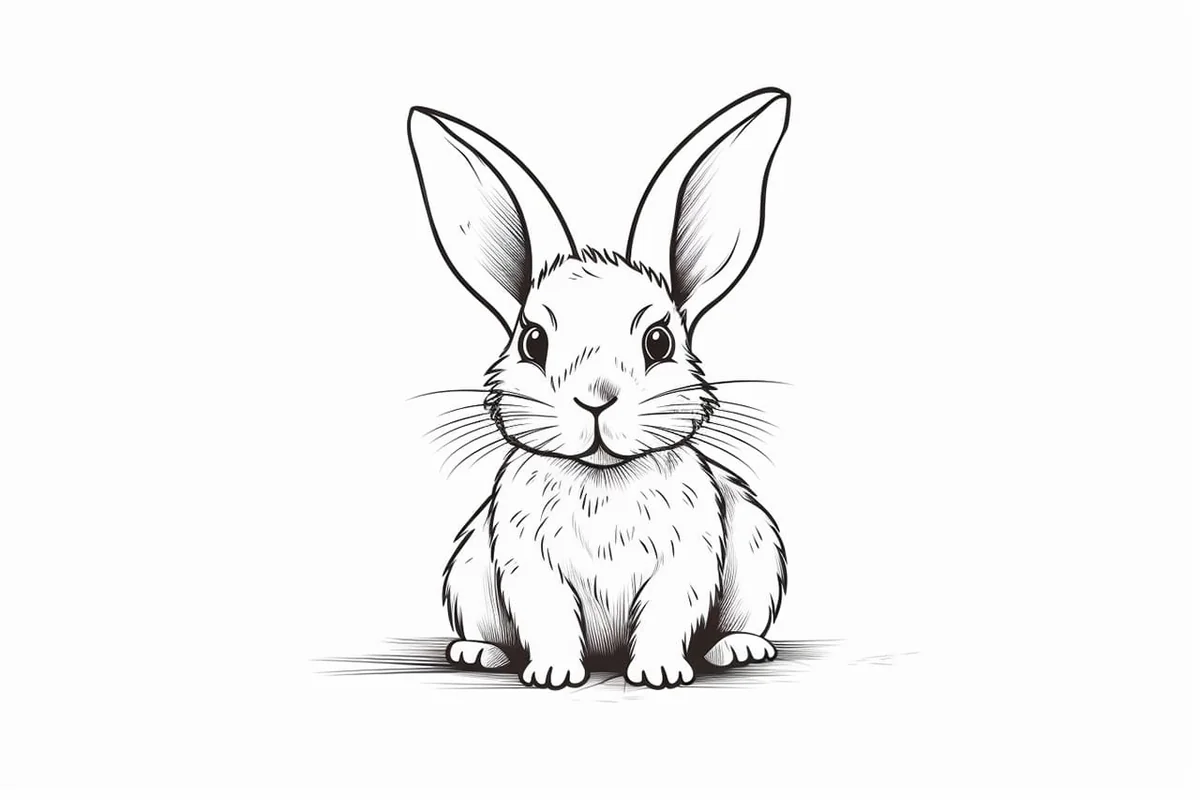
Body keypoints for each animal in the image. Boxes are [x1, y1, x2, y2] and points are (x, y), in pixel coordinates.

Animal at [407, 88, 790, 689]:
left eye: (659, 341)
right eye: (533, 341)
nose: (596, 399)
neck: (601, 480)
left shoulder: (687, 558)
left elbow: (666, 615)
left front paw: (659, 673)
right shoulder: (527, 562)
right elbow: (548, 617)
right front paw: (554, 674)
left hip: (758, 554)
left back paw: (740, 648)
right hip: (468, 574)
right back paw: (476, 653)